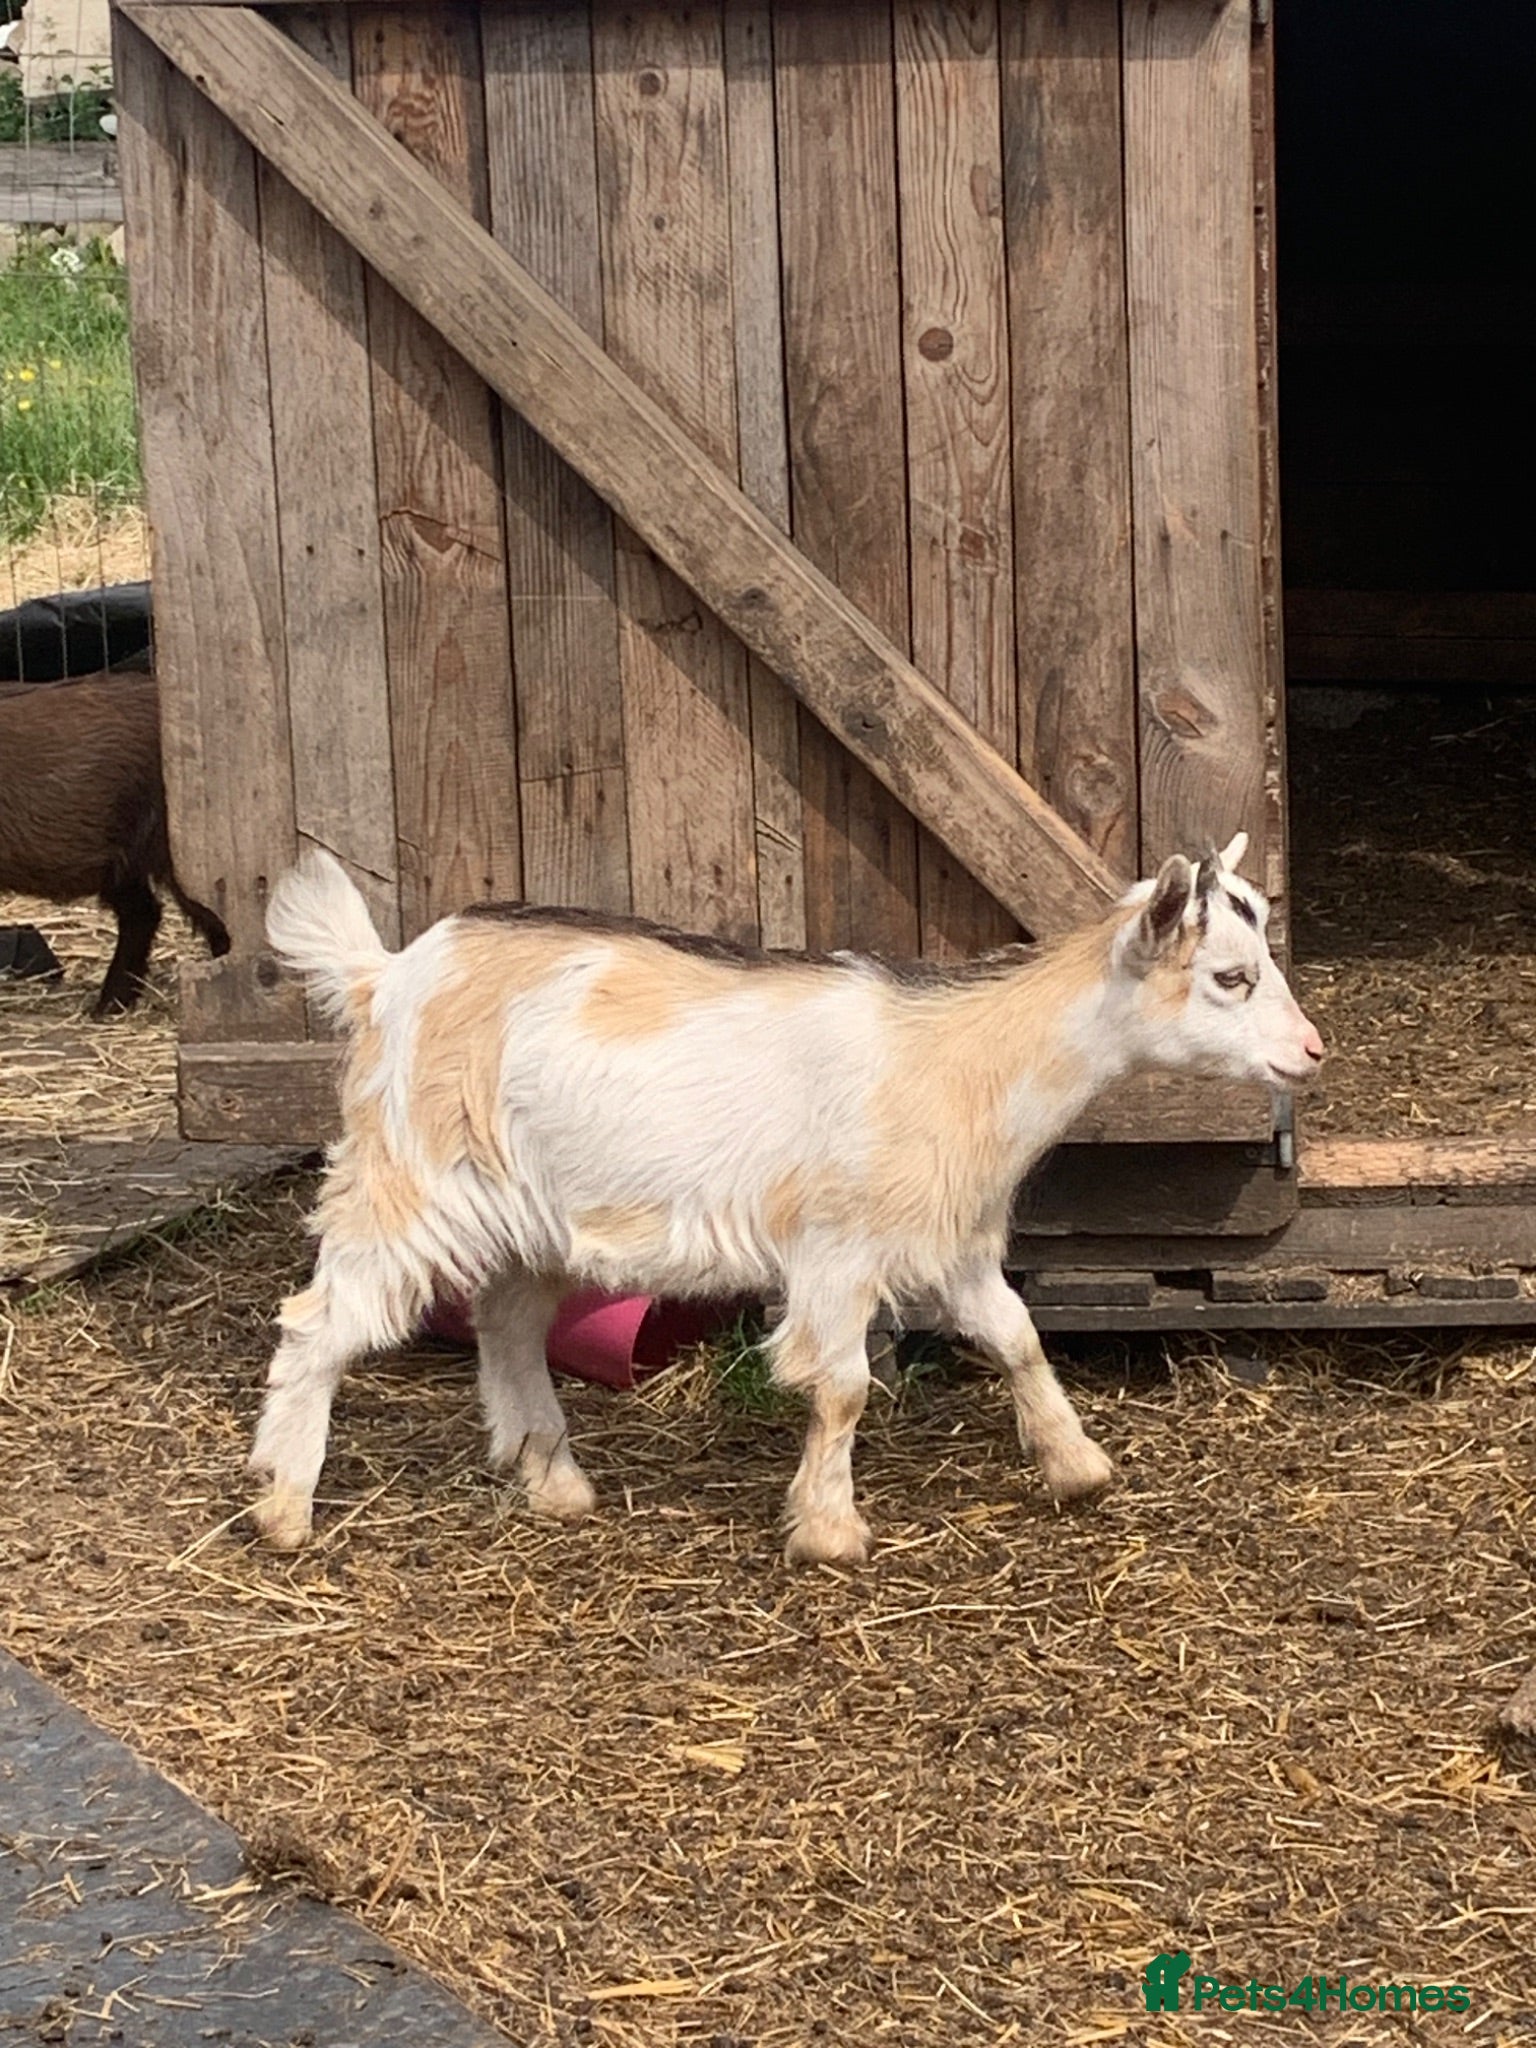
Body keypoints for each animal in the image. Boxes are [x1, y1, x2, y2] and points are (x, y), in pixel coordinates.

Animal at [249, 836, 1323, 1564]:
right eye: (1231, 976)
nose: (1310, 1052)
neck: (961, 1058)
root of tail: (389, 976)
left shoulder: (951, 1240)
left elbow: (1018, 1337)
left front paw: (1077, 1468)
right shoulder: (838, 1249)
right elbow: (842, 1385)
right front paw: (830, 1530)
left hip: (534, 1216)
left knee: (506, 1320)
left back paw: (555, 1480)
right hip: (410, 1177)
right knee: (318, 1320)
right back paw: (283, 1506)